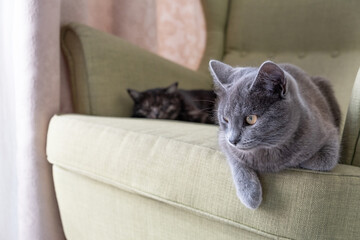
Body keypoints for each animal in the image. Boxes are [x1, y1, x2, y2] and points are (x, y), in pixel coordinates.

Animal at [208, 60, 340, 210]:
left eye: (251, 119)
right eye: (225, 119)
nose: (233, 140)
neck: (267, 150)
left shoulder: (330, 133)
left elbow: (324, 160)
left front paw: (296, 162)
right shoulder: (223, 140)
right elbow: (236, 160)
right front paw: (250, 195)